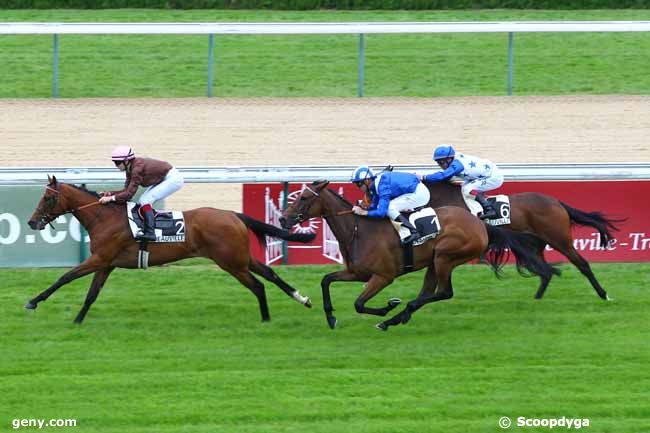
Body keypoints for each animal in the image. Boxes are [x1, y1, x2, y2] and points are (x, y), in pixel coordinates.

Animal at [26, 174, 316, 322]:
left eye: (48, 197)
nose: (31, 222)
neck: (103, 217)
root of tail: (233, 214)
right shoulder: (106, 263)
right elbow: (91, 294)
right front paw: (78, 320)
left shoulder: (100, 258)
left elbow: (65, 277)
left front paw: (33, 302)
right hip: (240, 258)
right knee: (271, 275)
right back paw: (301, 298)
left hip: (231, 262)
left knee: (258, 285)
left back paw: (266, 318)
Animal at [278, 181, 556, 330]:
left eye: (304, 197)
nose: (283, 218)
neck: (359, 230)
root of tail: (480, 223)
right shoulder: (357, 272)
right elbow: (326, 280)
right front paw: (331, 317)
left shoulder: (383, 276)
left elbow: (359, 304)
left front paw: (386, 307)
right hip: (434, 262)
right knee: (428, 293)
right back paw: (398, 318)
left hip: (445, 256)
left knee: (444, 292)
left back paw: (396, 315)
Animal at [422, 181, 620, 298]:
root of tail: (557, 202)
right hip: (538, 244)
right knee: (545, 271)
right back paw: (537, 298)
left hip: (560, 240)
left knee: (582, 264)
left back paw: (603, 294)